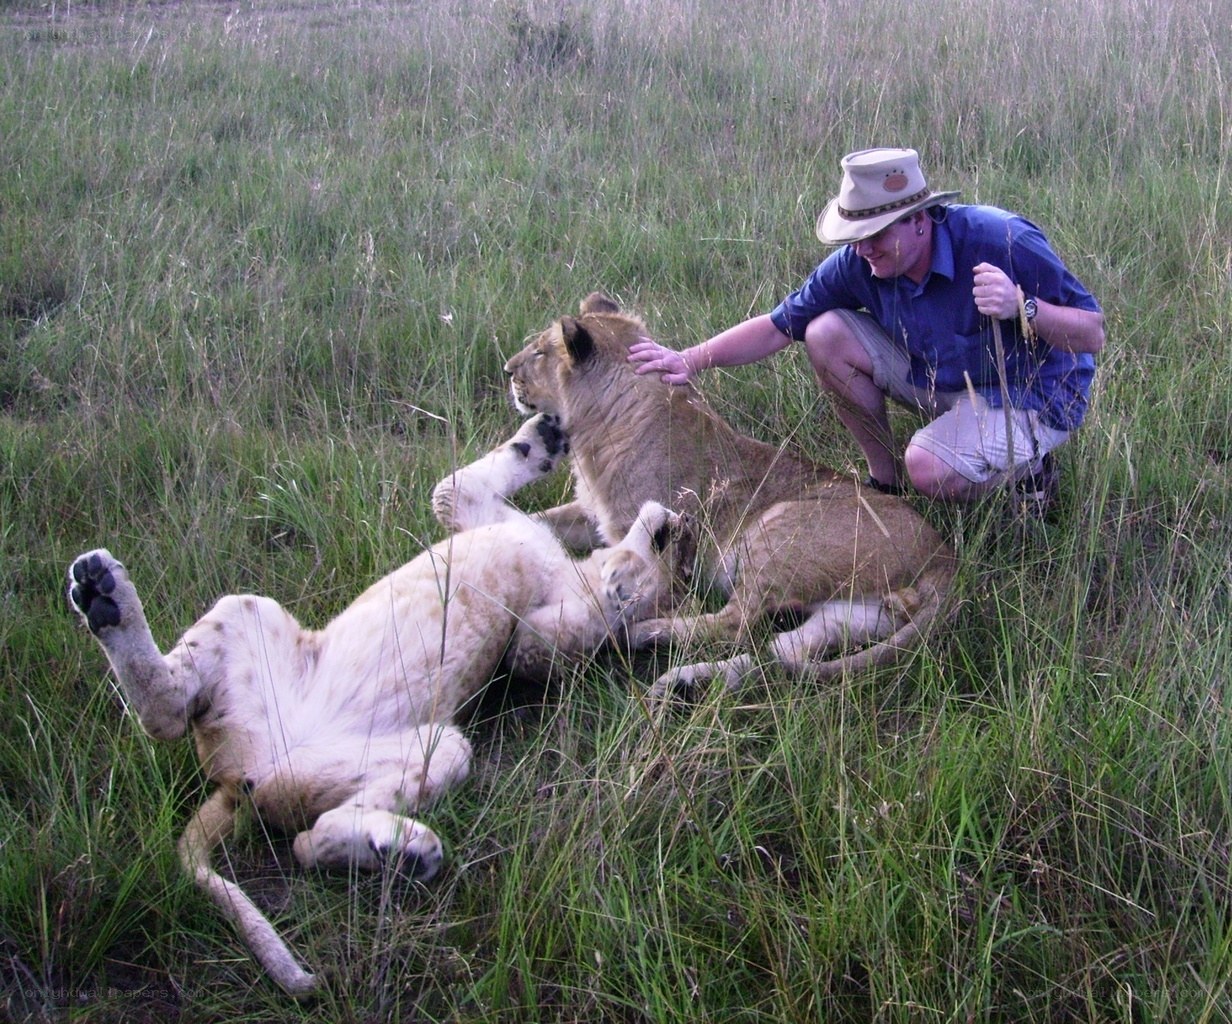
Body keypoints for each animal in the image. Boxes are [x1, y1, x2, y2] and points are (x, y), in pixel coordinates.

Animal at [67, 414, 689, 996]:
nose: (676, 523)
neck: (575, 565)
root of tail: (235, 779)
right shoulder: (481, 521)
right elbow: (453, 483)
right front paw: (544, 438)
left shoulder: (532, 644)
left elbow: (577, 625)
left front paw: (627, 579)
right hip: (249, 614)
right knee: (168, 712)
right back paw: (101, 594)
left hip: (430, 745)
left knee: (301, 836)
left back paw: (402, 850)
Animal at [503, 293, 957, 695]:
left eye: (539, 352)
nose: (507, 370)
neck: (603, 423)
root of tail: (943, 558)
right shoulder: (591, 513)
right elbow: (535, 522)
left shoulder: (654, 540)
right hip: (857, 613)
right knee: (780, 651)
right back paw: (682, 681)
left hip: (775, 533)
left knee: (737, 624)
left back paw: (642, 637)